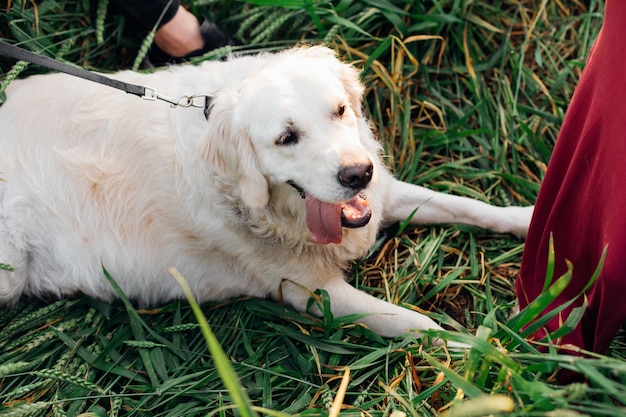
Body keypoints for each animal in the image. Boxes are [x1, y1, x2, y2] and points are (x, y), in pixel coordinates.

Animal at [0, 46, 532, 338]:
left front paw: (530, 219)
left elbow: (470, 206)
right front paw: (485, 351)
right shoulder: (313, 292)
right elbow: (418, 325)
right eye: (286, 138)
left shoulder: (384, 197)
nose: (358, 174)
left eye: (341, 110)